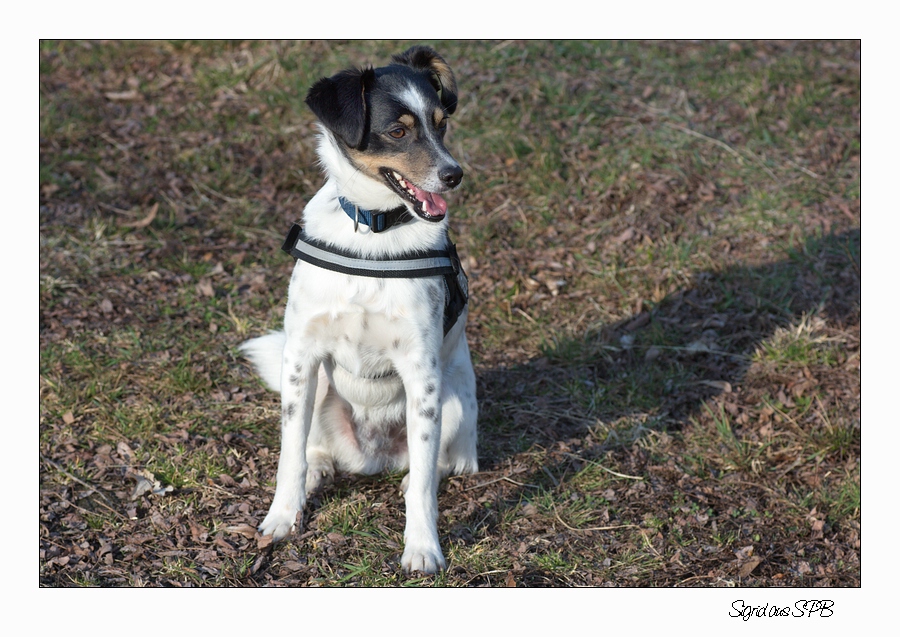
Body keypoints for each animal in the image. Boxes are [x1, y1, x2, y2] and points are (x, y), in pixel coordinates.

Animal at [239, 44, 478, 572]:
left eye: (442, 124)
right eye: (398, 131)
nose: (454, 175)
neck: (374, 231)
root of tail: (373, 458)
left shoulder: (422, 374)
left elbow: (426, 486)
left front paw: (422, 547)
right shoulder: (301, 357)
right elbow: (289, 455)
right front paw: (281, 518)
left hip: (452, 404)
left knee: (437, 465)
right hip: (320, 391)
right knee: (311, 447)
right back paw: (318, 472)